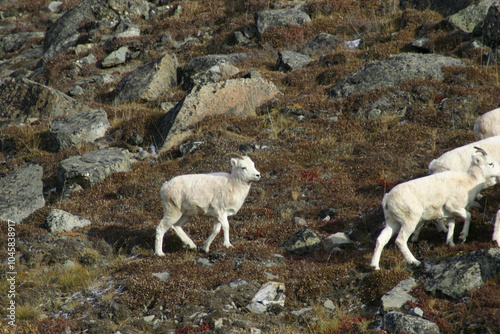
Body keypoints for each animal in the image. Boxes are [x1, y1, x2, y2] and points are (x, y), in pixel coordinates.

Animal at [370, 147, 500, 270]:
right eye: (490, 163)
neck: (469, 181)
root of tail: (387, 199)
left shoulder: (450, 214)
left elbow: (451, 226)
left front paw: (451, 244)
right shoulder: (454, 207)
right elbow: (468, 216)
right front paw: (463, 237)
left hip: (393, 222)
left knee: (381, 239)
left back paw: (375, 266)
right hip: (409, 222)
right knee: (400, 241)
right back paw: (414, 262)